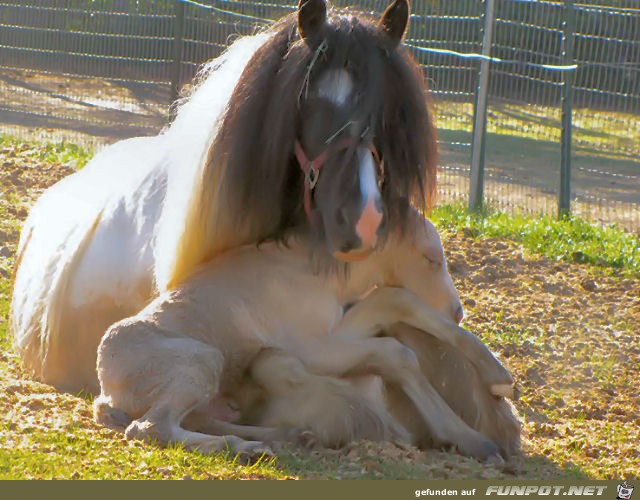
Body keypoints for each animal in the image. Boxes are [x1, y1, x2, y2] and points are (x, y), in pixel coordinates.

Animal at [94, 210, 516, 460]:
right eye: (430, 258)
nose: (457, 310)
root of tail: (106, 392)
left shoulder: (333, 328)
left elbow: (394, 299)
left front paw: (498, 376)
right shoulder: (311, 349)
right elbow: (395, 350)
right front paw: (473, 440)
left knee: (198, 420)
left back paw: (289, 436)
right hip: (200, 361)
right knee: (151, 427)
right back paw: (248, 448)